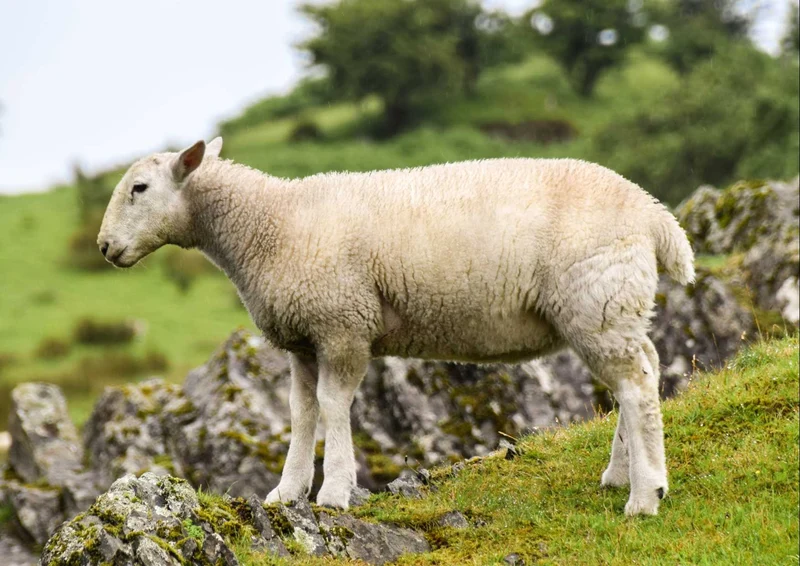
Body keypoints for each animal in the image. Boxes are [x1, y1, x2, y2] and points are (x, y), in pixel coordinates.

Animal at [97, 137, 695, 516]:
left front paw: (335, 491)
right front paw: (287, 492)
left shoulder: (343, 324)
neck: (269, 224)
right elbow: (301, 413)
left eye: (140, 188)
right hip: (608, 308)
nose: (103, 247)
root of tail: (655, 215)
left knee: (635, 385)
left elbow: (333, 407)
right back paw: (622, 475)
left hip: (597, 297)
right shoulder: (303, 338)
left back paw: (645, 497)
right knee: (638, 376)